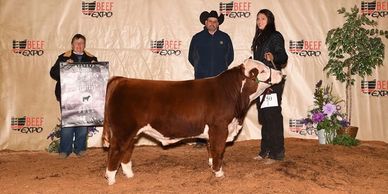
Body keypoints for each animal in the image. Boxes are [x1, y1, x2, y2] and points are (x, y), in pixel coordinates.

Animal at [102, 59, 282, 185]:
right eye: (263, 70)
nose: (281, 72)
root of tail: (123, 80)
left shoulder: (212, 131)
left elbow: (211, 149)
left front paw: (212, 167)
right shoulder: (219, 127)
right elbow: (218, 150)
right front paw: (219, 173)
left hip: (131, 133)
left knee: (126, 152)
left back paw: (129, 175)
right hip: (122, 131)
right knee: (115, 152)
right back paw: (111, 179)